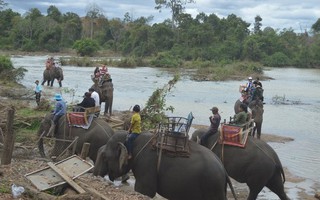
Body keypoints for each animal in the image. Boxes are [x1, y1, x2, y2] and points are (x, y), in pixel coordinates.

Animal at [93, 131, 238, 200]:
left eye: (105, 156)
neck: (132, 138)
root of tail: (224, 172)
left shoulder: (147, 165)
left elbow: (145, 191)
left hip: (212, 186)